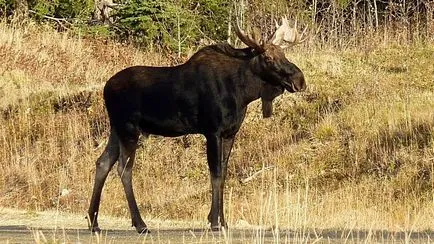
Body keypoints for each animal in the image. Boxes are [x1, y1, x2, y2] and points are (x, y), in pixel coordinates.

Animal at [87, 17, 306, 233]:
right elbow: (215, 173)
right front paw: (215, 222)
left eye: (284, 54)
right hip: (129, 128)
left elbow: (223, 173)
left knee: (103, 162)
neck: (243, 92)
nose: (300, 80)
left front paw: (223, 221)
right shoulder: (213, 131)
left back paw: (94, 221)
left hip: (116, 129)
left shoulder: (230, 133)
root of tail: (105, 88)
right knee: (124, 168)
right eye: (268, 58)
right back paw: (140, 224)